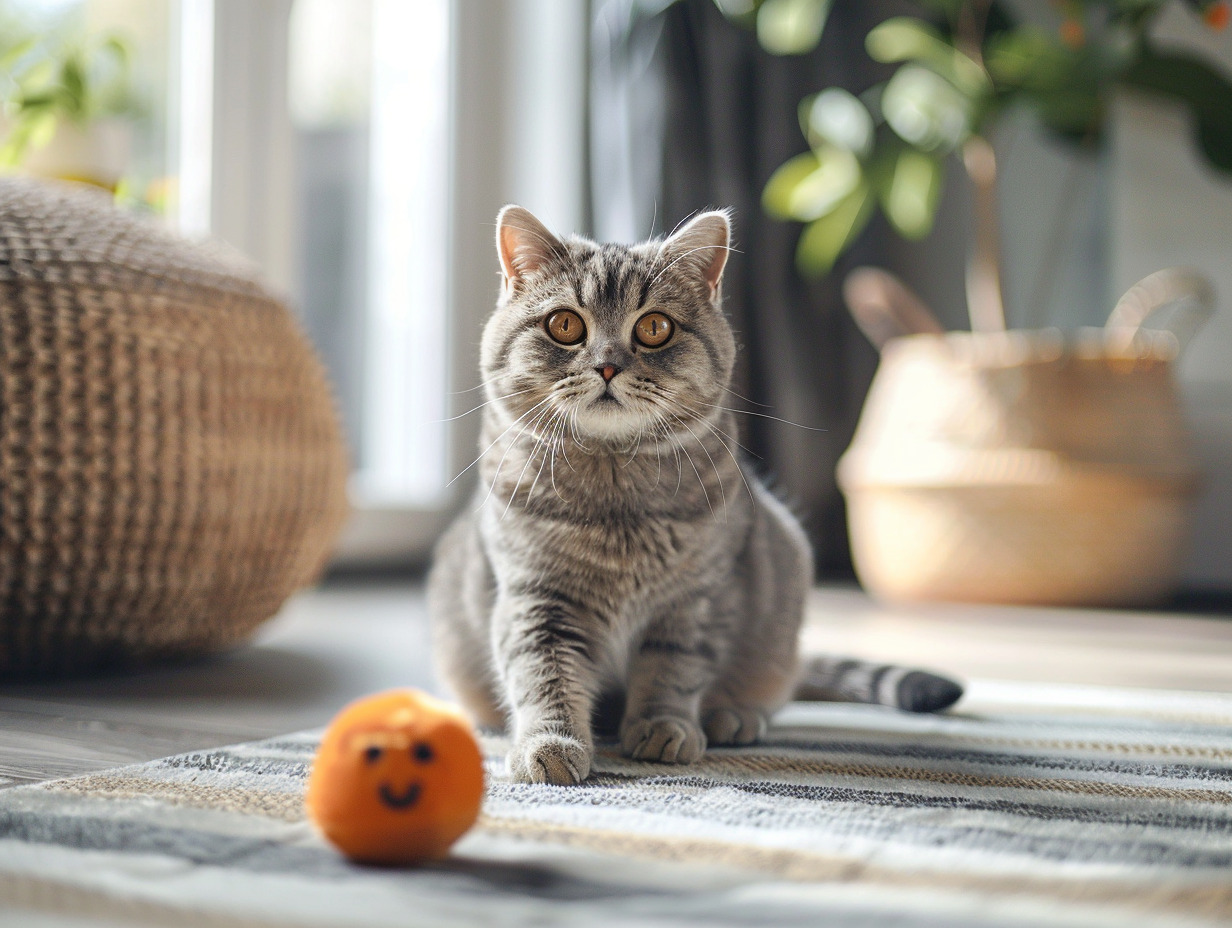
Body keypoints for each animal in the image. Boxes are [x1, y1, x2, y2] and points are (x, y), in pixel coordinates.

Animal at [428, 208, 965, 783]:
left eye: (654, 328)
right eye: (565, 325)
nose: (608, 365)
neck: (616, 497)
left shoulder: (697, 599)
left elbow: (673, 670)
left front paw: (665, 728)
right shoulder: (537, 598)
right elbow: (544, 676)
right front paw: (548, 744)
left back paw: (733, 717)